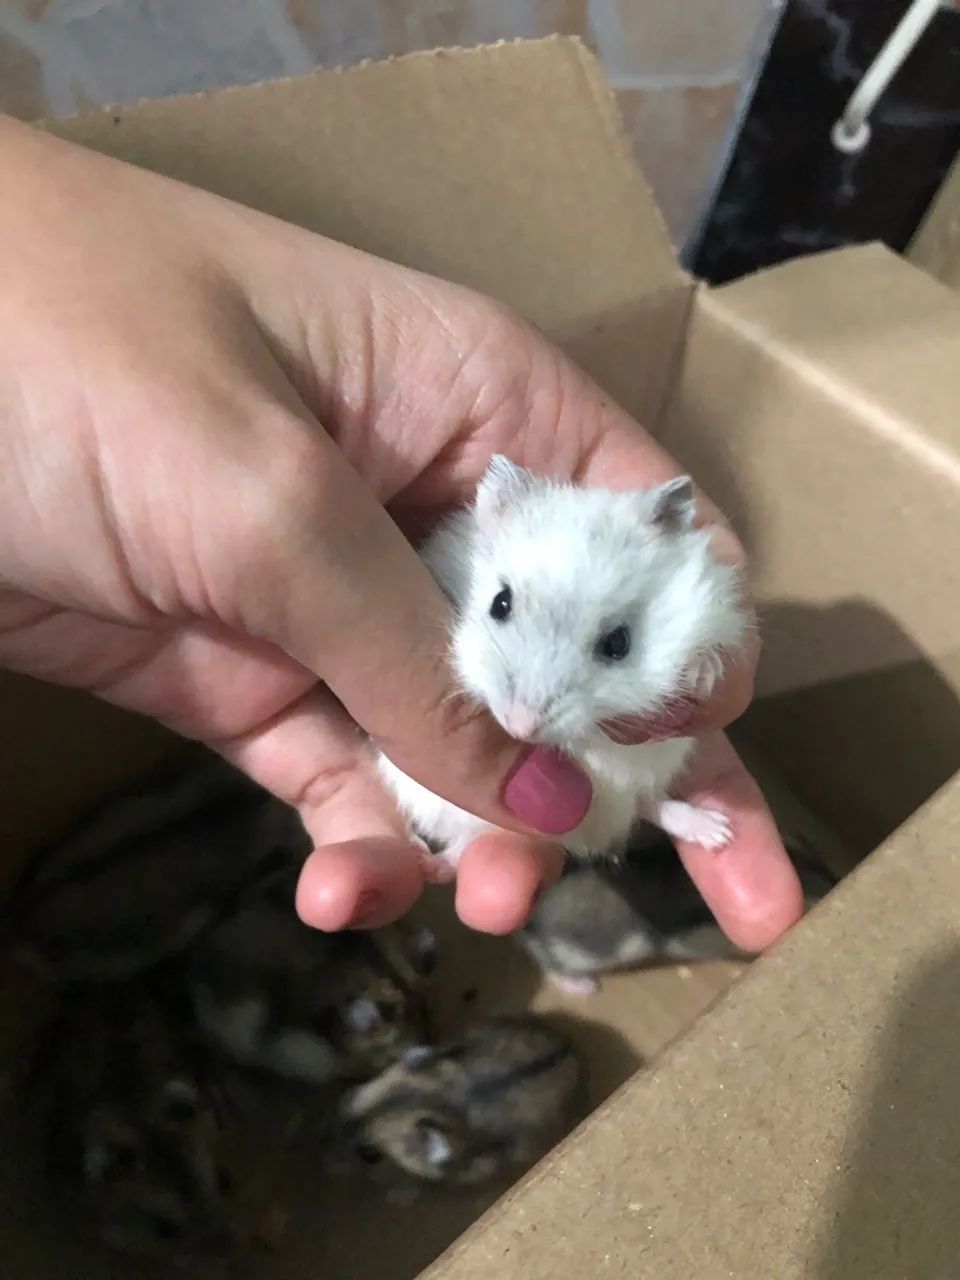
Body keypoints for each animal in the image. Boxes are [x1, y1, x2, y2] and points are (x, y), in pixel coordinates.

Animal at [377, 456, 749, 877]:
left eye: (619, 643)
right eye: (499, 603)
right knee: (461, 849)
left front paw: (702, 680)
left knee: (649, 802)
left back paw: (718, 831)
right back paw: (420, 859)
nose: (519, 729)